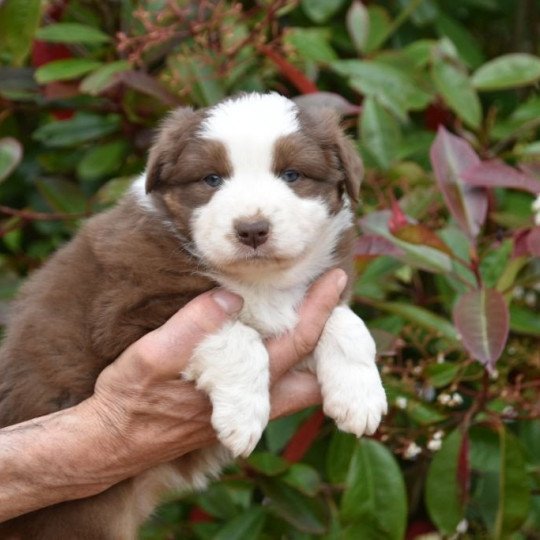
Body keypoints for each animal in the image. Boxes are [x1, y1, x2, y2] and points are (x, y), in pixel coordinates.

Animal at [0, 93, 388, 536]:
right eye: (211, 179)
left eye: (292, 175)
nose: (252, 230)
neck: (259, 280)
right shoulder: (126, 313)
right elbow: (236, 335)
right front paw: (243, 416)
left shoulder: (319, 291)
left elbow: (346, 322)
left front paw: (360, 397)